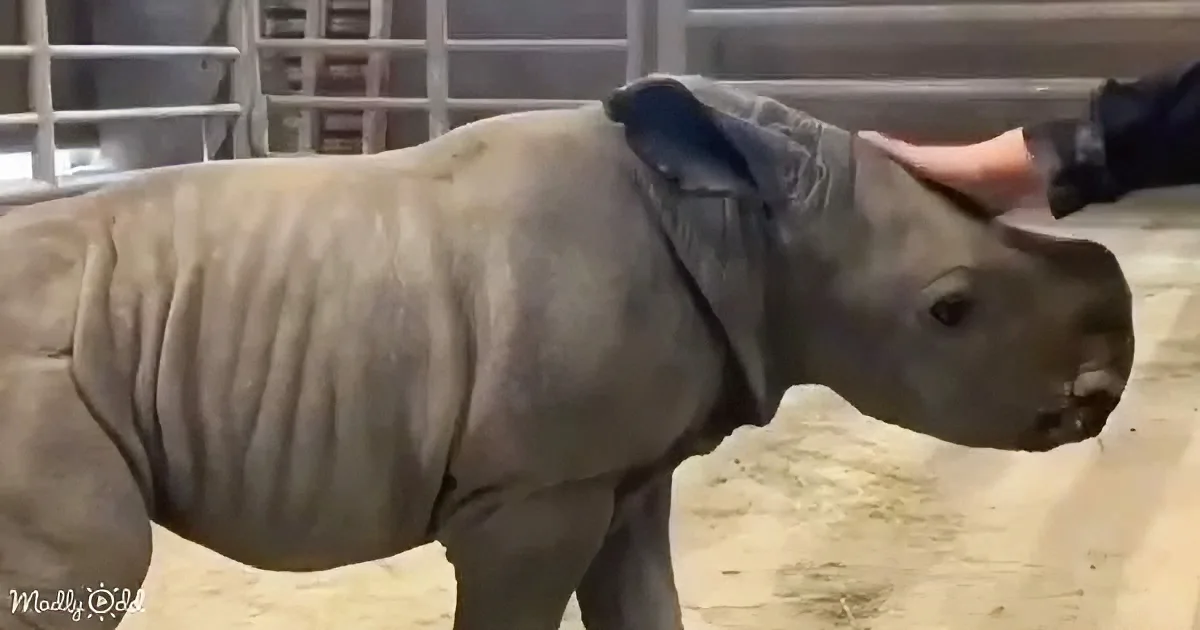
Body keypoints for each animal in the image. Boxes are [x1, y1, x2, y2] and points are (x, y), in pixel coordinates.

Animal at [0, 74, 1133, 629]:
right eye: (950, 311)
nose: (1103, 389)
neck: (748, 225)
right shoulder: (530, 494)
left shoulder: (615, 475)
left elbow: (646, 608)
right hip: (38, 375)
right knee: (101, 561)